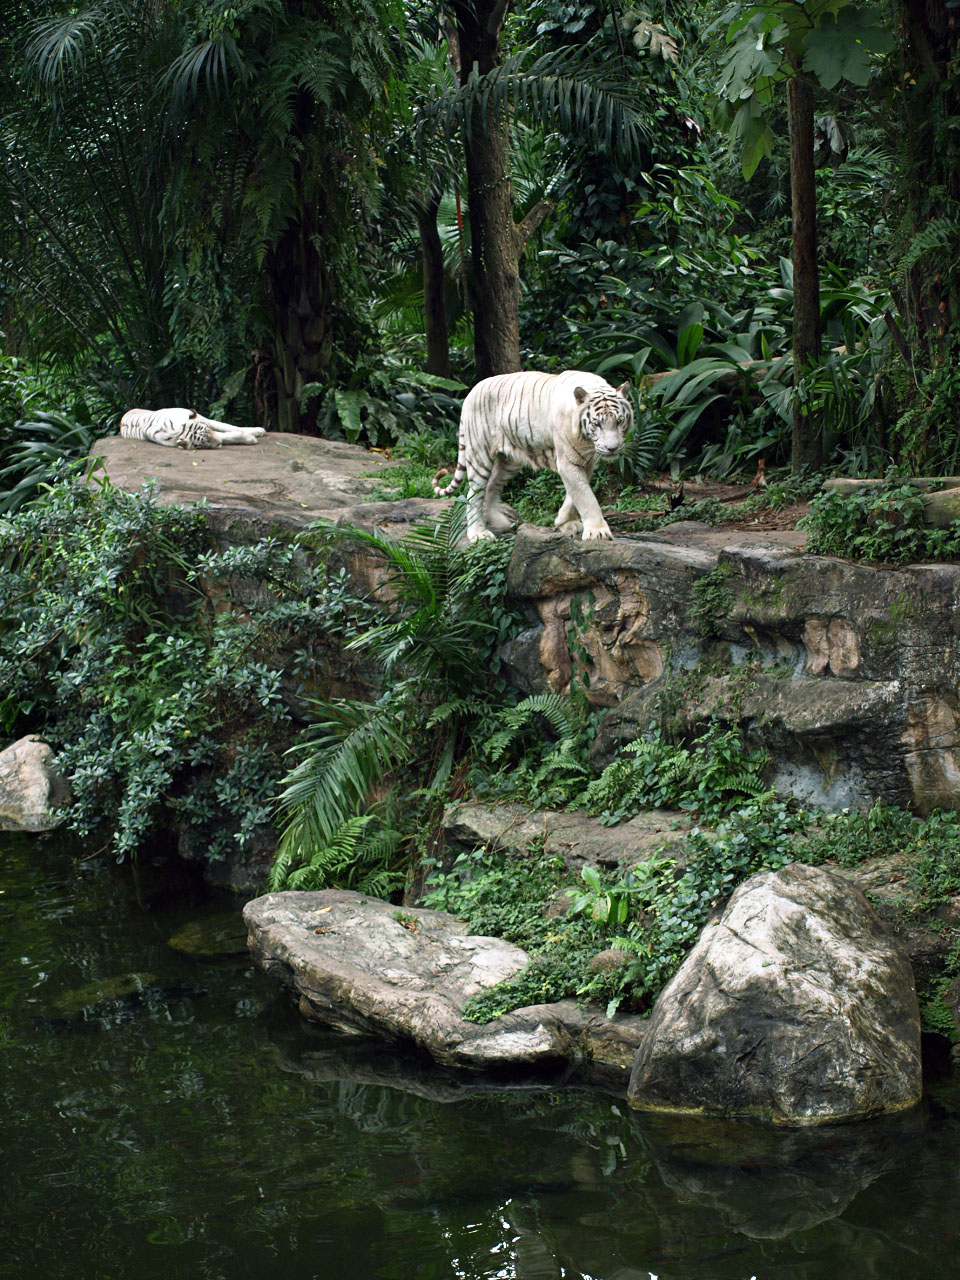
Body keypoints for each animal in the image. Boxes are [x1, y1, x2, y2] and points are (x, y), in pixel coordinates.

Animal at [119, 408, 266, 449]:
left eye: (207, 431)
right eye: (202, 444)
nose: (219, 444)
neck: (179, 429)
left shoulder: (206, 421)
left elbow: (229, 427)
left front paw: (258, 431)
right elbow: (226, 435)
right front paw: (250, 439)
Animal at [432, 370, 632, 543]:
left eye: (619, 421)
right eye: (597, 423)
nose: (612, 448)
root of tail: (471, 392)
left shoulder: (586, 461)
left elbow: (576, 494)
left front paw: (563, 521)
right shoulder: (568, 461)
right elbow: (586, 496)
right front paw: (598, 532)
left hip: (510, 461)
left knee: (491, 486)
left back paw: (500, 522)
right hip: (479, 453)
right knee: (473, 493)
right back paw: (479, 534)